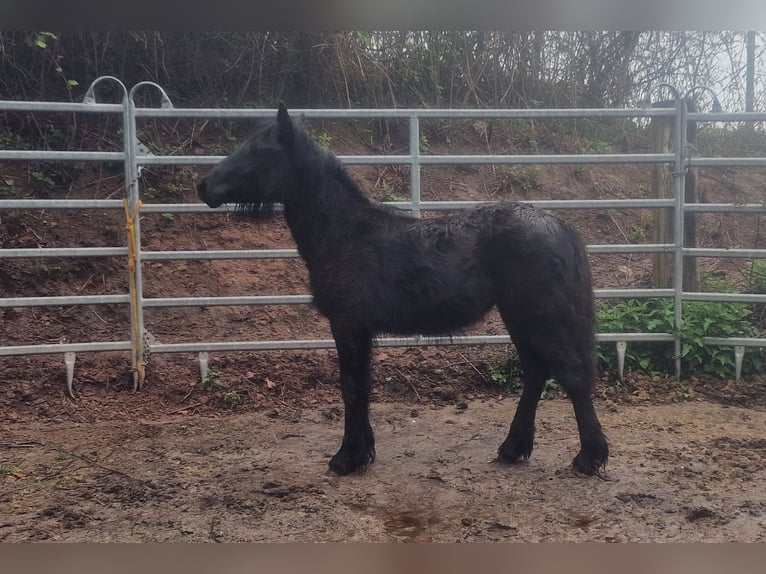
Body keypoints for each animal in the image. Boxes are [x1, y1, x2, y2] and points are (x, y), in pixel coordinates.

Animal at [197, 104, 609, 477]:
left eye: (260, 150)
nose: (203, 186)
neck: (346, 233)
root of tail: (555, 224)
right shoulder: (359, 330)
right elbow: (361, 387)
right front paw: (361, 452)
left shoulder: (347, 325)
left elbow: (351, 387)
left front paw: (347, 458)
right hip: (519, 317)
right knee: (537, 372)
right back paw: (513, 448)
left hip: (540, 316)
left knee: (570, 375)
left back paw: (589, 458)